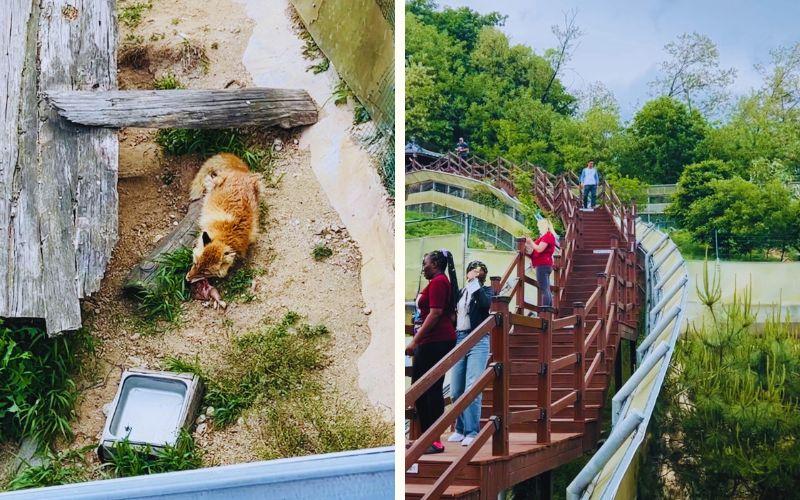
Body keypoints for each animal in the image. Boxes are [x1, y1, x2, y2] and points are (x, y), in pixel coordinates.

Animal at [186, 152, 264, 286]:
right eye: (195, 263)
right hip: (212, 182)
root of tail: (241, 171)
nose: (187, 279)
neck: (225, 235)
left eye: (205, 273)